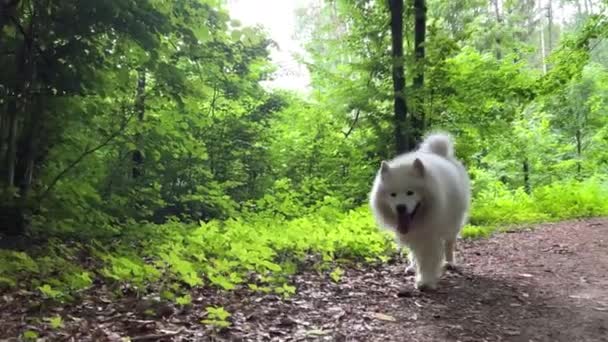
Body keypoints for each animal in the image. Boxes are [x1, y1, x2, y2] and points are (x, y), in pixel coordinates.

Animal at [368, 132, 472, 290]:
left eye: (410, 192)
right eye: (393, 194)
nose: (401, 207)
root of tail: (440, 153)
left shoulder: (429, 235)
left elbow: (428, 259)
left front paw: (425, 281)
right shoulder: (414, 233)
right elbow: (415, 253)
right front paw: (417, 269)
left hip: (453, 224)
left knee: (449, 243)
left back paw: (449, 263)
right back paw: (412, 266)